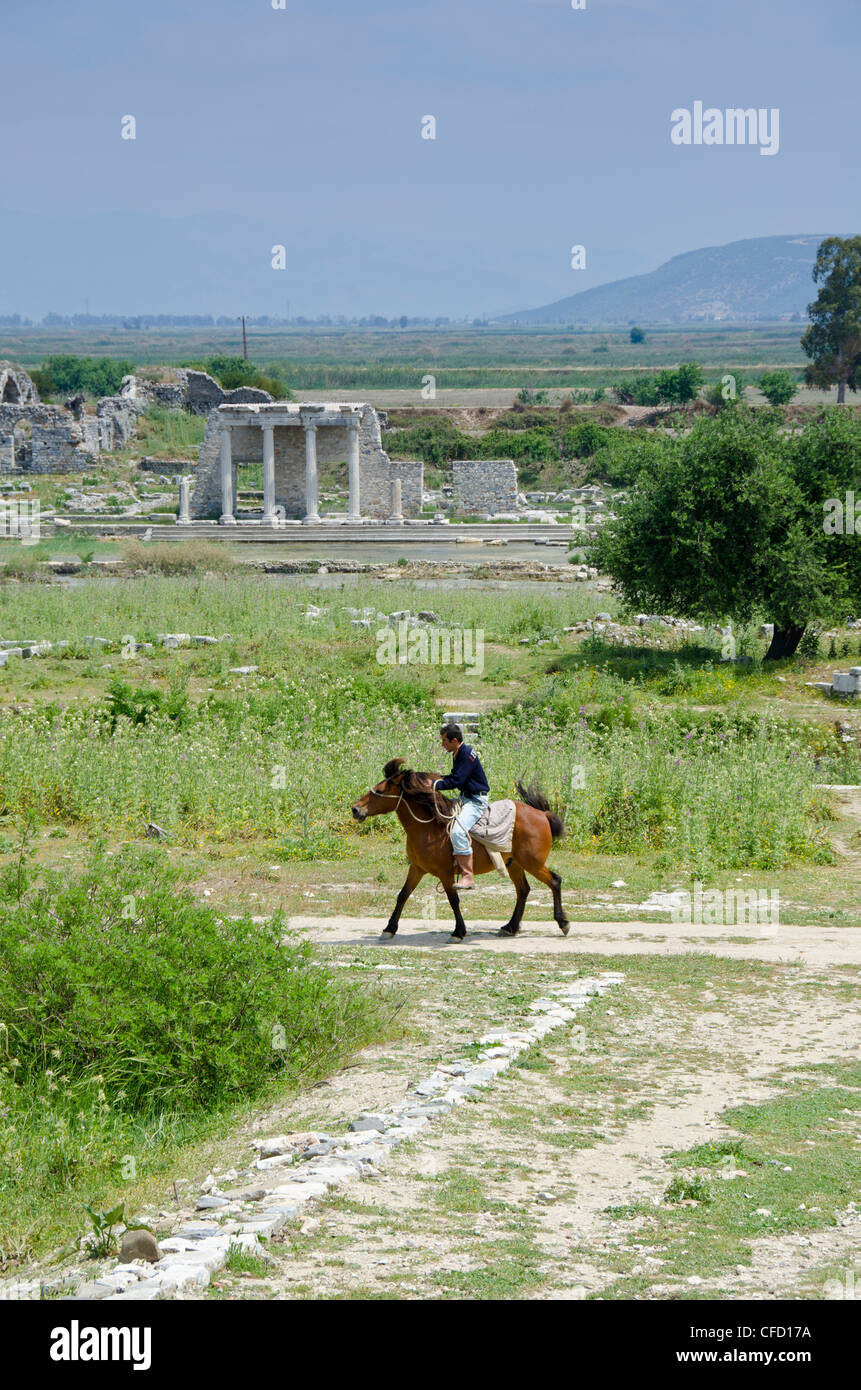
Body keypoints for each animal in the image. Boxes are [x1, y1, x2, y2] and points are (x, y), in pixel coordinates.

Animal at [353, 761, 570, 945]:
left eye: (379, 791)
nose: (355, 809)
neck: (430, 828)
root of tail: (542, 814)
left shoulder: (445, 873)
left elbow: (453, 900)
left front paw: (458, 932)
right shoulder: (417, 869)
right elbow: (402, 895)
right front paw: (389, 929)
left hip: (532, 863)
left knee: (554, 881)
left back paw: (563, 923)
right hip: (515, 864)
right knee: (523, 890)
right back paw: (510, 927)